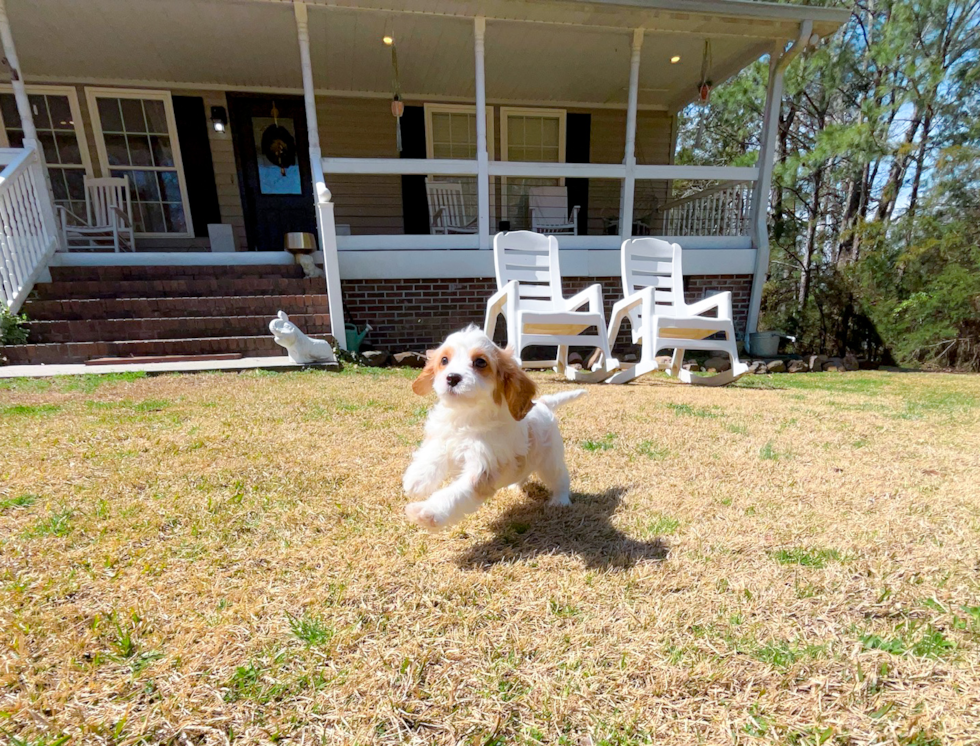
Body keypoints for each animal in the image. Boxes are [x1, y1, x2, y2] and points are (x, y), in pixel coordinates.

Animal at [400, 326, 580, 528]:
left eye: (480, 362)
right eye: (444, 360)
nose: (452, 377)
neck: (466, 415)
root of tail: (544, 404)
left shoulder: (482, 468)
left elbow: (455, 493)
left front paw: (427, 512)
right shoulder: (445, 436)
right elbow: (433, 452)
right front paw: (417, 479)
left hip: (550, 461)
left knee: (560, 478)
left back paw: (561, 500)